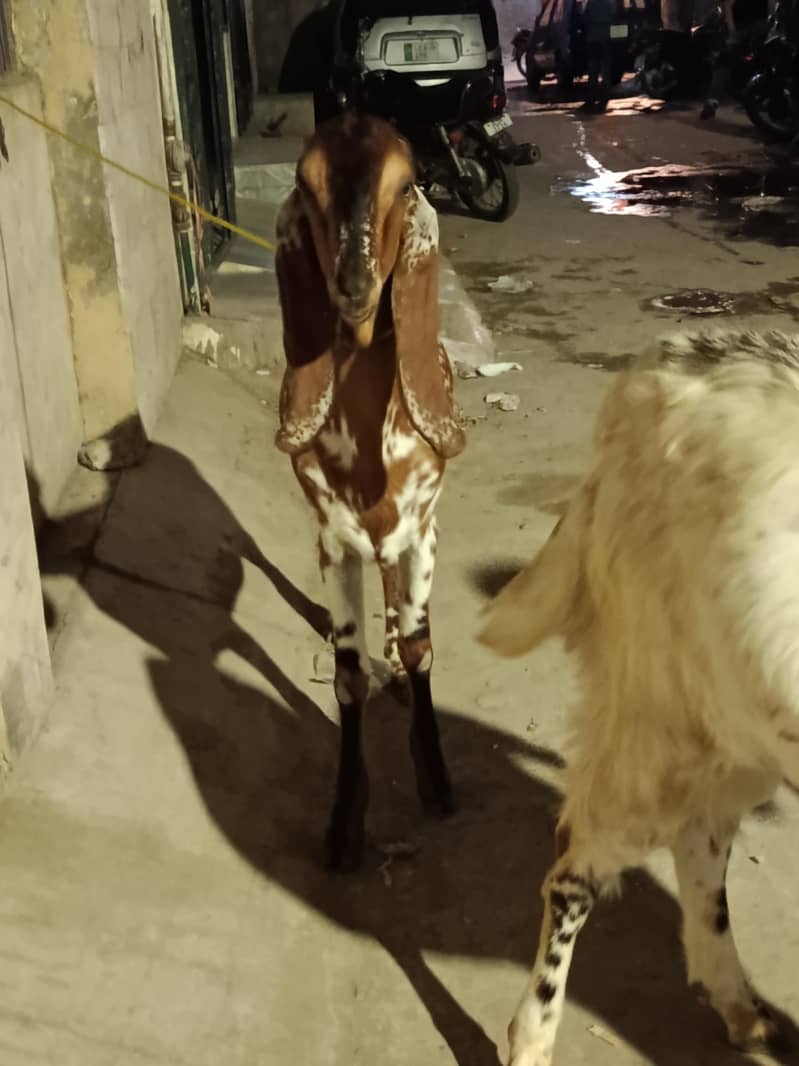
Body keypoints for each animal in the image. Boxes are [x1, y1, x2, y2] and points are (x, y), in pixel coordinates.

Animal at [275, 114, 466, 871]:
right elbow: (349, 675)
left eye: (407, 183)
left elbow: (420, 649)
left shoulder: (423, 531)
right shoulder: (334, 543)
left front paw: (436, 777)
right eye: (304, 182)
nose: (353, 285)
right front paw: (342, 820)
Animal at [478, 329, 799, 1066]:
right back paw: (531, 1038)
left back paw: (735, 1001)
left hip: (734, 719)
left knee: (699, 842)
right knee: (577, 865)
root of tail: (659, 370)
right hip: (656, 717)